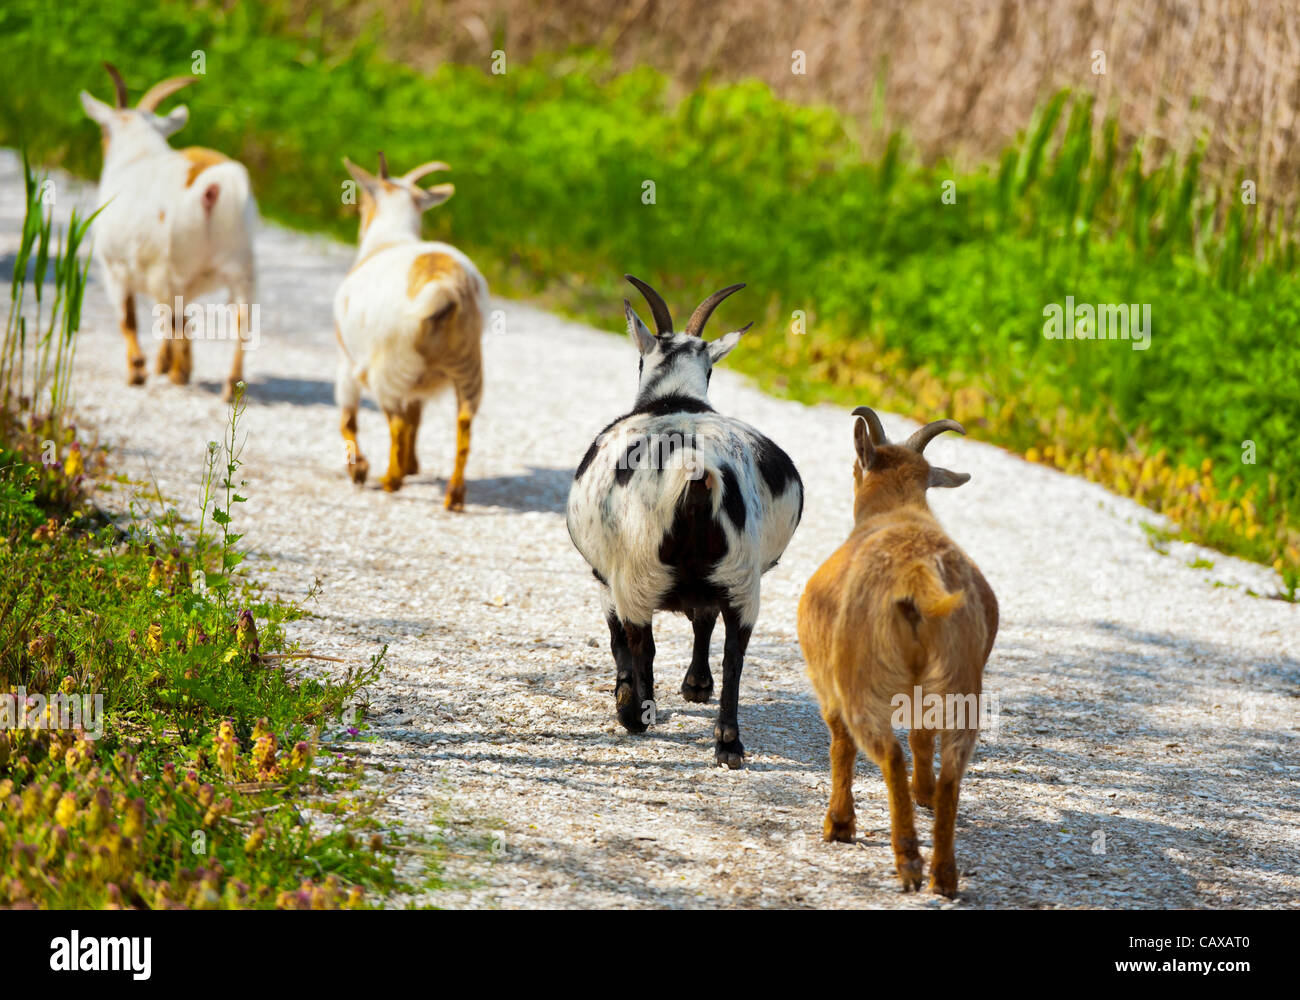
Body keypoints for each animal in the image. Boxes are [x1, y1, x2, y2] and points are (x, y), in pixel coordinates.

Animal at [79, 63, 256, 402]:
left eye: (103, 131)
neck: (138, 153)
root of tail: (213, 185)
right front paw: (163, 363)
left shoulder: (114, 267)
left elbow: (128, 318)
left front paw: (139, 370)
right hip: (241, 264)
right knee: (241, 317)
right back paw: (229, 385)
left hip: (169, 261)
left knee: (174, 317)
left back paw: (178, 372)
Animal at [334, 153, 486, 509]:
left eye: (363, 203)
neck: (390, 238)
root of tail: (443, 287)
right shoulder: (419, 381)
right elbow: (416, 415)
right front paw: (410, 464)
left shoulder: (347, 361)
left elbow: (348, 418)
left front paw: (360, 469)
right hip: (467, 363)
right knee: (463, 421)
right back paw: (454, 494)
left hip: (388, 365)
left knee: (395, 421)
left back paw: (391, 480)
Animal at [567, 276, 803, 768]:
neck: (674, 398)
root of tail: (694, 471)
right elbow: (703, 620)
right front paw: (696, 686)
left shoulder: (605, 578)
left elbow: (622, 640)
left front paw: (631, 697)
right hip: (741, 578)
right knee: (735, 652)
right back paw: (728, 743)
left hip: (637, 571)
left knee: (641, 643)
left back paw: (636, 713)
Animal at [797, 406, 998, 897]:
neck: (899, 513)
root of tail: (916, 573)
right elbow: (923, 735)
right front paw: (921, 793)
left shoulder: (829, 684)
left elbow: (840, 744)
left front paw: (840, 826)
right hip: (961, 679)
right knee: (950, 768)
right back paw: (943, 875)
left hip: (862, 678)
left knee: (886, 753)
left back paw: (906, 861)